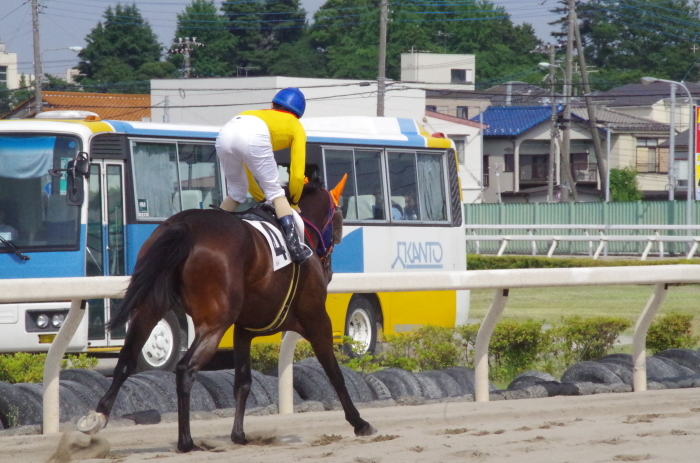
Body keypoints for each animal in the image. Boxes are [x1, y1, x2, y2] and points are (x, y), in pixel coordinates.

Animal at [78, 181, 374, 454]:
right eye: (338, 220)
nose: (329, 271)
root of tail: (183, 226)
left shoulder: (243, 329)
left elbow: (242, 381)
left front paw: (239, 434)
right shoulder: (316, 320)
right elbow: (334, 372)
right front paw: (359, 422)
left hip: (151, 306)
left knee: (127, 359)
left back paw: (97, 417)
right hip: (214, 323)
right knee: (185, 369)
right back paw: (186, 441)